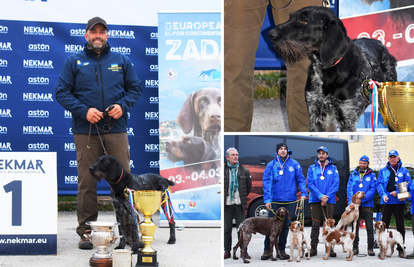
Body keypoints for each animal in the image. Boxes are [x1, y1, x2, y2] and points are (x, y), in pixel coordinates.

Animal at [268, 6, 398, 132]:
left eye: (304, 21)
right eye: (290, 18)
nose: (270, 34)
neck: (326, 69)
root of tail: (380, 44)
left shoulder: (347, 120)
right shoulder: (315, 115)